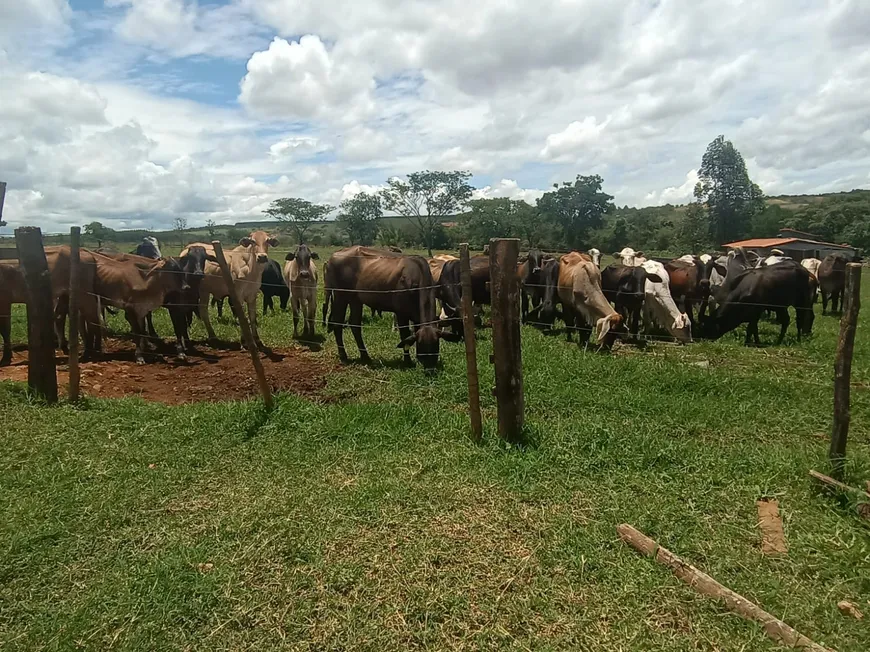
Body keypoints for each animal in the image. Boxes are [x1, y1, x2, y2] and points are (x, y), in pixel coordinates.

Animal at [326, 246, 464, 370]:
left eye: (435, 345)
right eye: (422, 345)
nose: (430, 368)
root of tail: (333, 256)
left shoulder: (416, 315)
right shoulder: (401, 313)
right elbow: (405, 335)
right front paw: (407, 361)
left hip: (355, 300)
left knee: (355, 325)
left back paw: (365, 356)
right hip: (340, 296)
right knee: (337, 323)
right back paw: (343, 356)